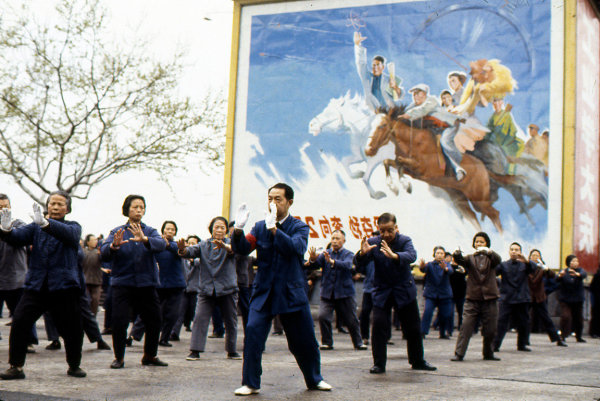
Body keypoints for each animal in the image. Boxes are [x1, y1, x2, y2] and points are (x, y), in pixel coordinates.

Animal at [366, 104, 502, 233]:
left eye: (382, 125)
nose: (368, 150)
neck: (413, 140)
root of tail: (484, 168)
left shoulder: (422, 169)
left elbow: (399, 162)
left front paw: (405, 185)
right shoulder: (412, 171)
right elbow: (389, 162)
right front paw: (395, 187)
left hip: (479, 199)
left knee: (494, 214)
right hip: (459, 198)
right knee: (473, 217)